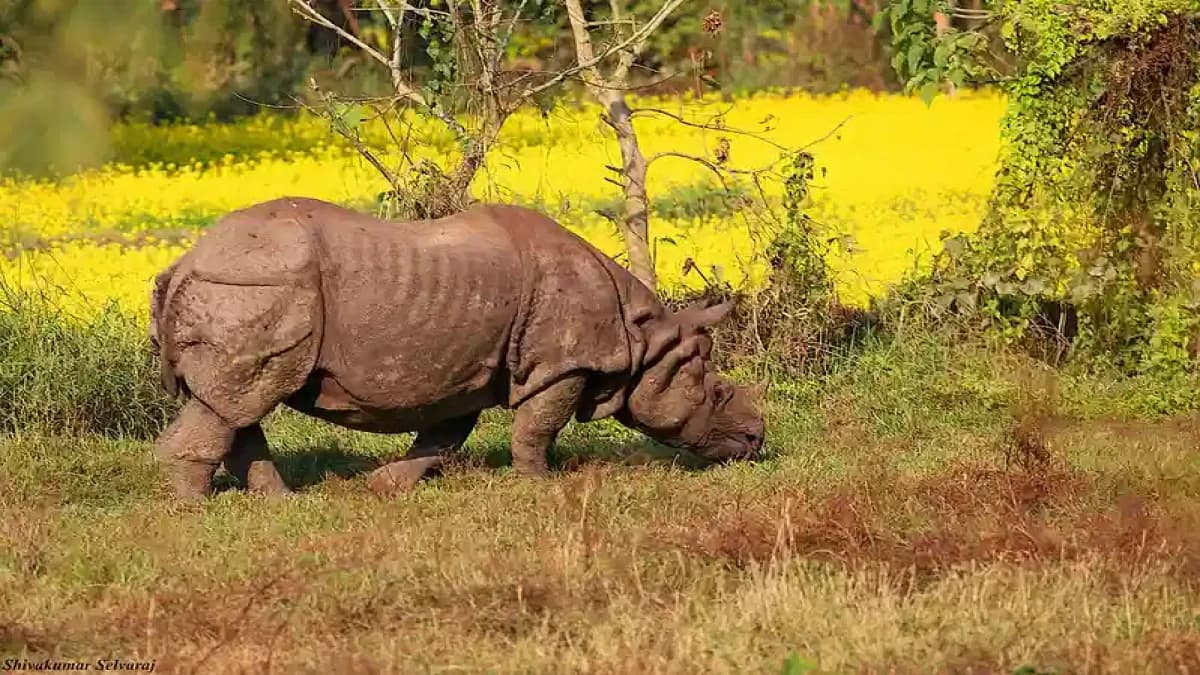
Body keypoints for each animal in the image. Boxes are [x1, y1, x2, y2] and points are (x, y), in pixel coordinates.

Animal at [148, 197, 765, 501]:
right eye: (718, 391)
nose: (757, 440)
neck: (642, 340)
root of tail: (184, 261)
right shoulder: (562, 363)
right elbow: (539, 425)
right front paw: (540, 486)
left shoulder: (467, 368)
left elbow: (444, 437)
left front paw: (386, 488)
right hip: (258, 286)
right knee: (239, 399)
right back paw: (194, 509)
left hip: (246, 285)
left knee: (237, 405)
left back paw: (283, 503)